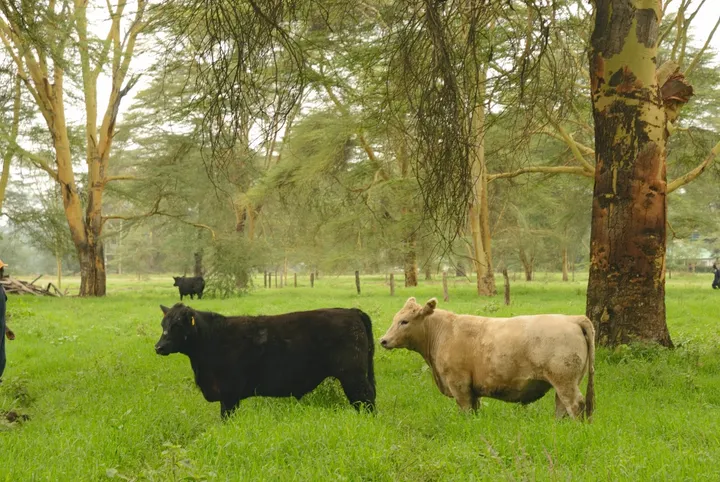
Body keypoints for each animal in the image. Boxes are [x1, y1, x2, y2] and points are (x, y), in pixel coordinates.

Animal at [155, 303, 376, 418]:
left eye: (177, 325)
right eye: (163, 324)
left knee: (366, 399)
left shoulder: (229, 393)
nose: (159, 347)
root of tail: (351, 311)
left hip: (353, 376)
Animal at [379, 297, 595, 420]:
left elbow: (466, 410)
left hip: (564, 381)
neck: (442, 332)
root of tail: (572, 318)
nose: (383, 340)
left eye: (404, 321)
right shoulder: (472, 390)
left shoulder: (459, 384)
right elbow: (475, 410)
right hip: (566, 382)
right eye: (395, 319)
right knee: (562, 408)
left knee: (575, 405)